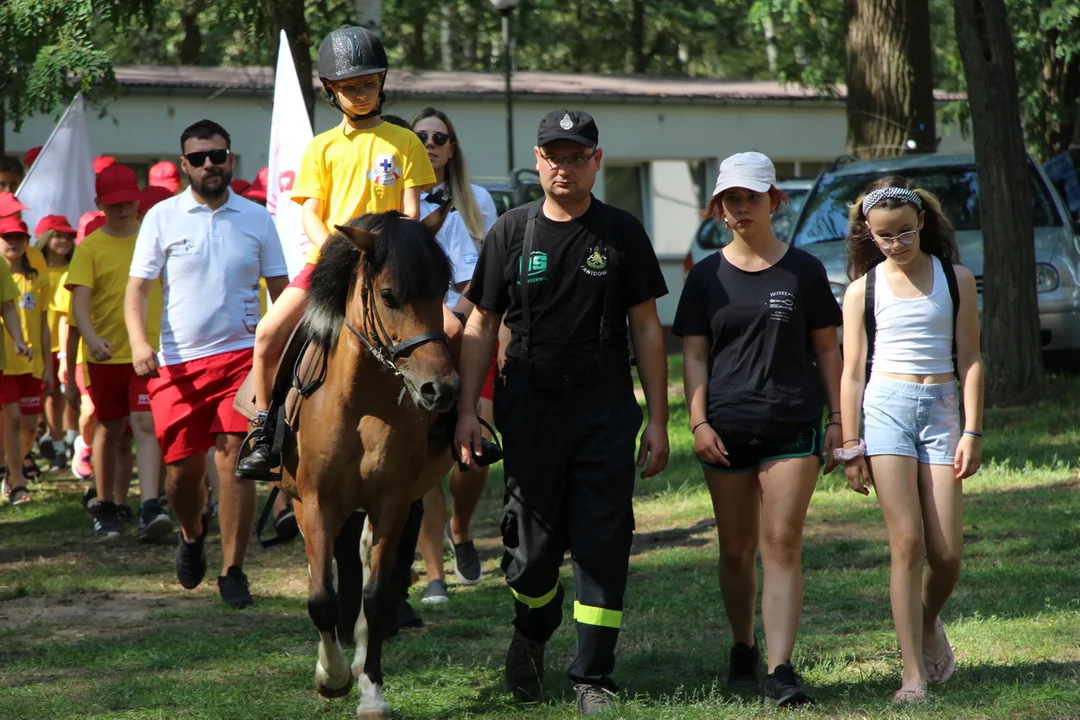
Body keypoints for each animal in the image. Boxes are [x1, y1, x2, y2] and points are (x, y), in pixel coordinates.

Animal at [278, 211, 455, 716]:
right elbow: (321, 597)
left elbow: (376, 598)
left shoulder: (392, 502)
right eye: (390, 295)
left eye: (443, 289)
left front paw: (371, 690)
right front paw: (331, 678)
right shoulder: (317, 502)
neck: (361, 402)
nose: (441, 390)